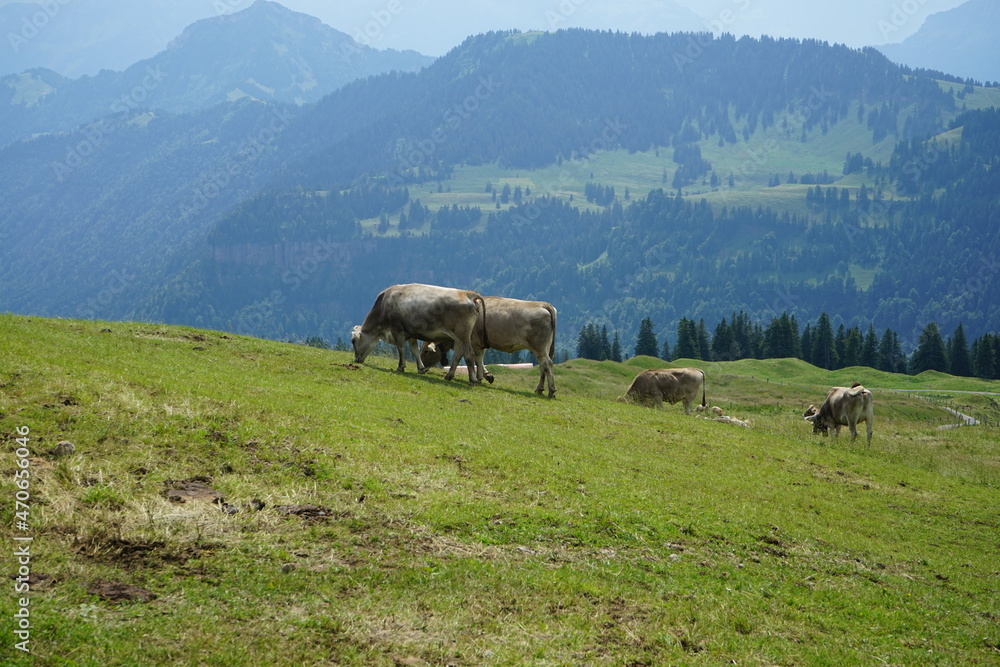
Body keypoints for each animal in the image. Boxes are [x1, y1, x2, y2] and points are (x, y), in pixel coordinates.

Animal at [351, 283, 486, 384]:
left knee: (469, 355)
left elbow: (401, 349)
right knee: (458, 354)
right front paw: (421, 368)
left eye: (353, 341)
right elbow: (415, 351)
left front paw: (400, 367)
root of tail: (467, 293)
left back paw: (472, 380)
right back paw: (449, 375)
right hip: (459, 337)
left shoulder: (397, 330)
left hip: (463, 335)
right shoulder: (411, 333)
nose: (356, 359)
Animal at [419, 297, 558, 397]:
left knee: (547, 364)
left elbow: (462, 356)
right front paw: (484, 376)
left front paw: (451, 375)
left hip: (539, 346)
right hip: (544, 347)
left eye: (426, 351)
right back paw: (539, 389)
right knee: (543, 366)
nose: (421, 368)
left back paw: (551, 390)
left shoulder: (469, 341)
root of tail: (544, 304)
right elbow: (480, 359)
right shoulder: (479, 344)